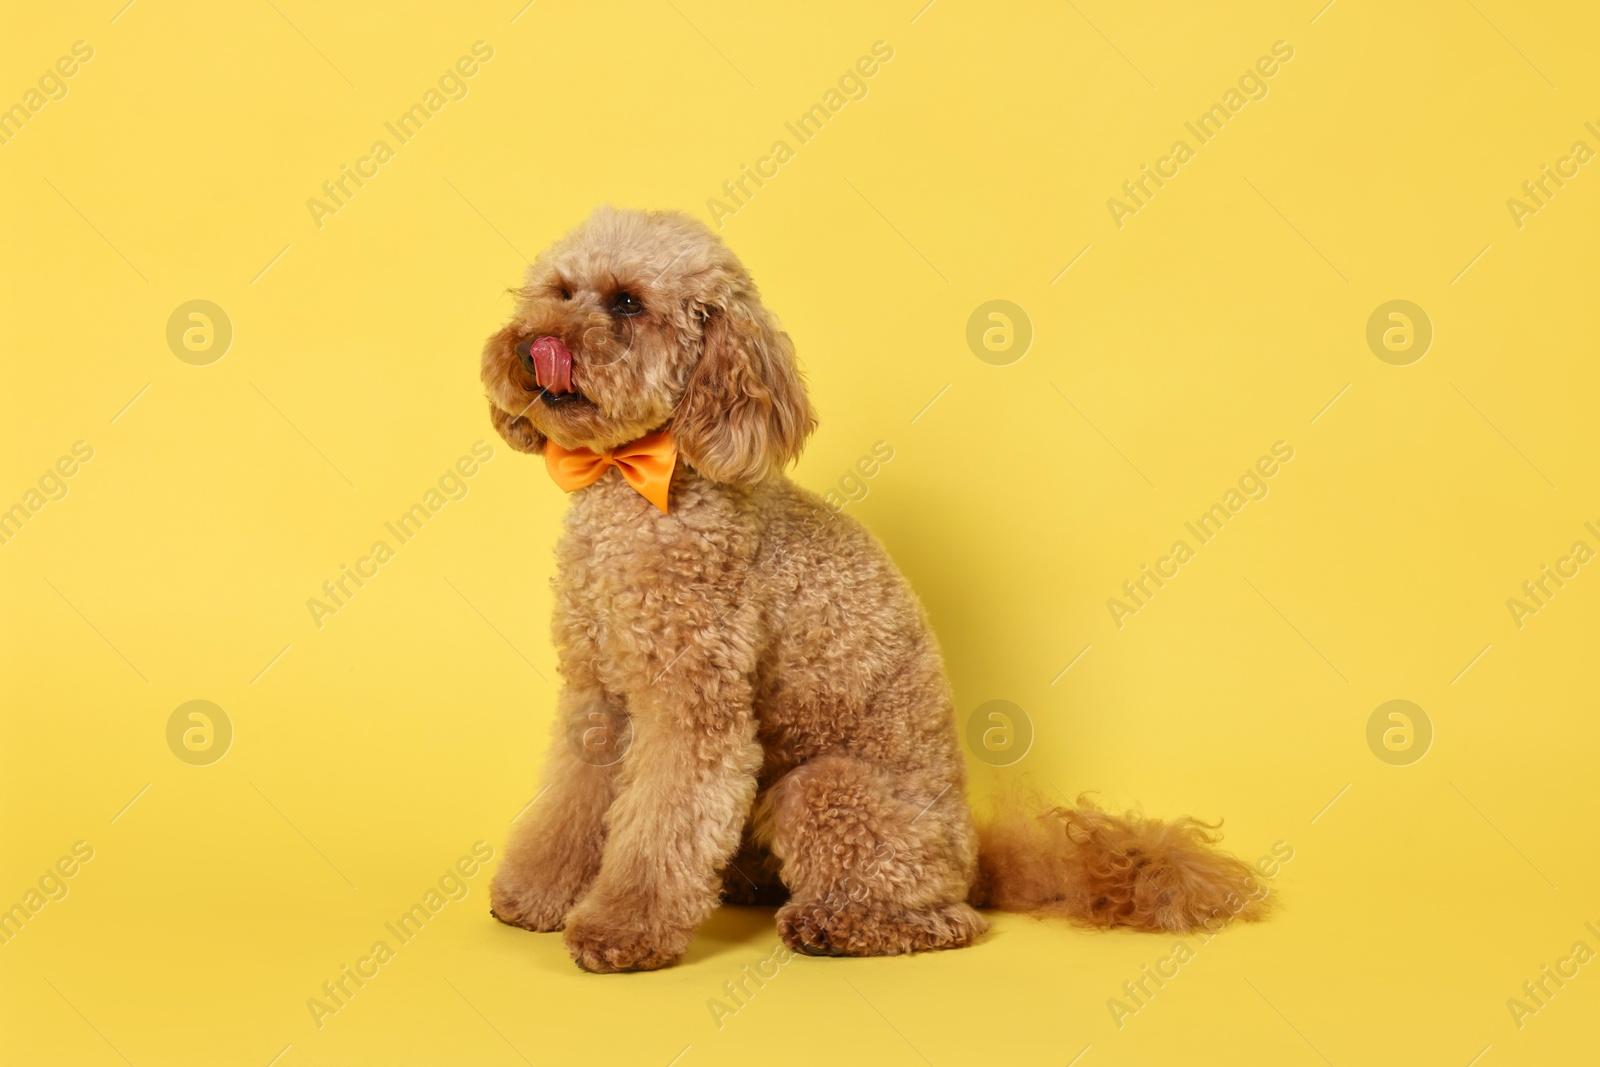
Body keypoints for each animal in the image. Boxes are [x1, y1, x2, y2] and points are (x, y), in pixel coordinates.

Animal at [480, 204, 1267, 972]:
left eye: (627, 303)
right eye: (560, 291)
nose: (528, 347)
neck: (634, 485)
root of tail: (974, 863)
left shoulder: (693, 704)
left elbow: (662, 822)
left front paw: (622, 928)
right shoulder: (598, 692)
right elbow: (571, 803)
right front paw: (538, 893)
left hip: (827, 791)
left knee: (942, 922)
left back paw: (833, 924)